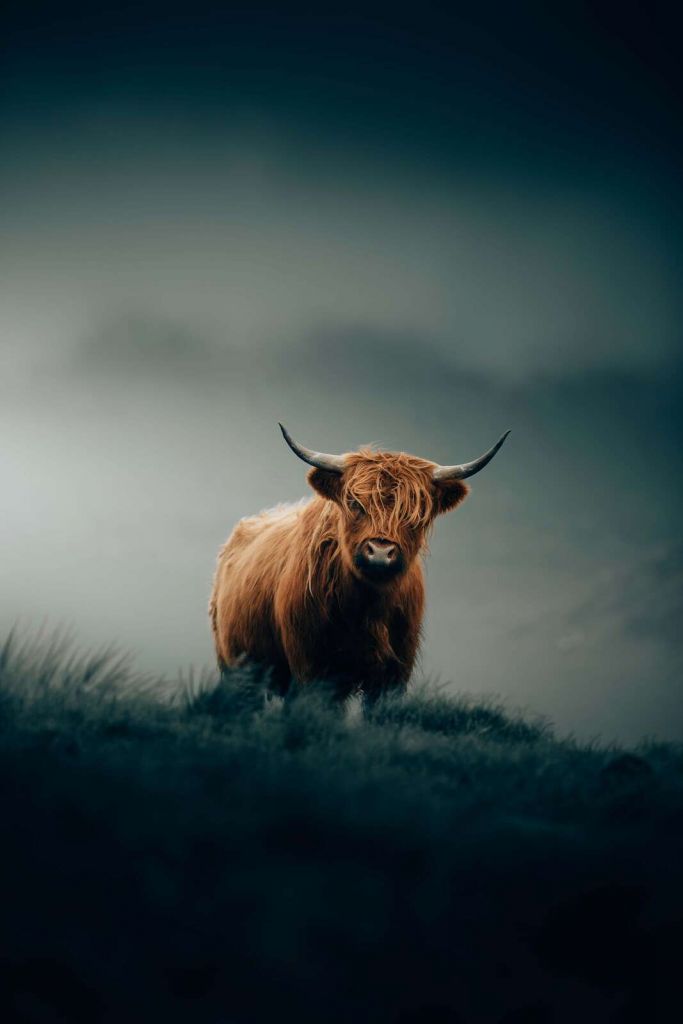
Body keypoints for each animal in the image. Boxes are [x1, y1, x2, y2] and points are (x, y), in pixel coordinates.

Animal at [210, 424, 509, 701]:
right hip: (236, 666)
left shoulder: (394, 674)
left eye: (416, 513)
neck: (367, 608)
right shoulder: (311, 667)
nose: (379, 552)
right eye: (354, 503)